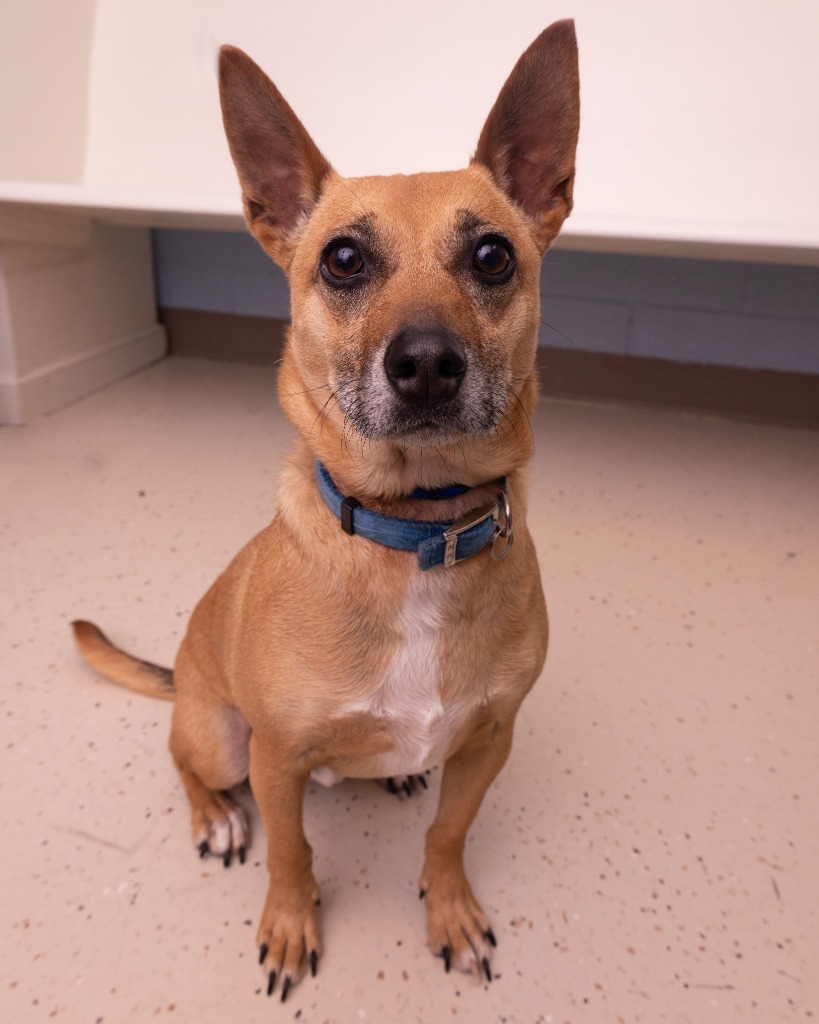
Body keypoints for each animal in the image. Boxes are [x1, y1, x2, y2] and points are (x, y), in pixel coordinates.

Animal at [73, 18, 577, 999]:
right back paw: (215, 818)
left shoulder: (488, 741)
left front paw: (448, 909)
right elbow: (292, 854)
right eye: (343, 260)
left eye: (492, 255)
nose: (425, 363)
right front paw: (288, 924)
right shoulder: (275, 758)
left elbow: (449, 834)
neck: (414, 531)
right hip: (222, 736)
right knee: (183, 760)